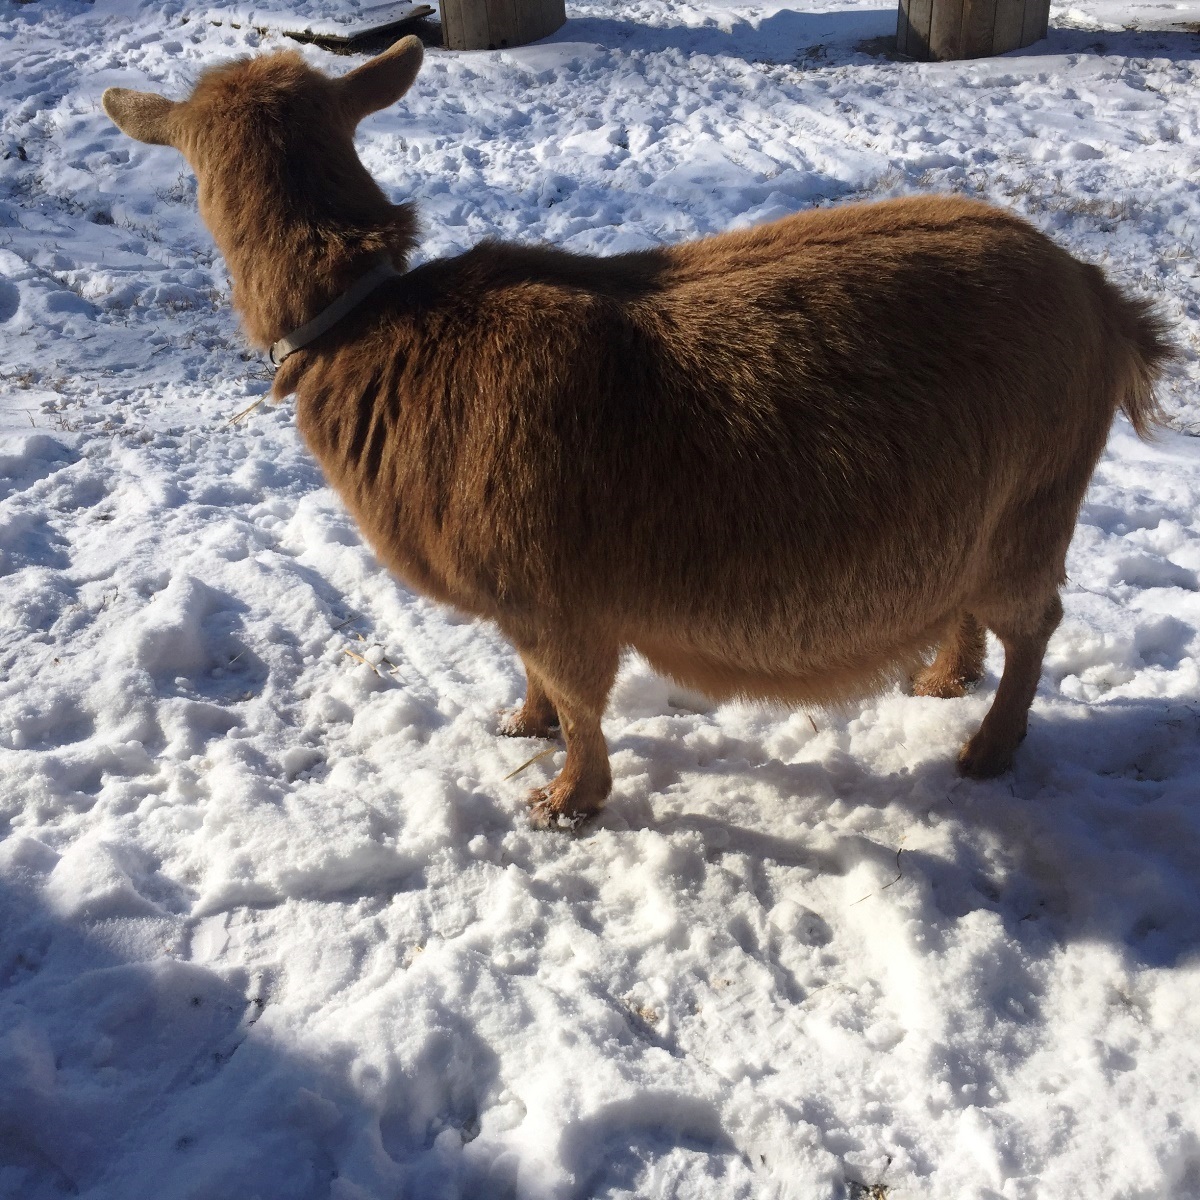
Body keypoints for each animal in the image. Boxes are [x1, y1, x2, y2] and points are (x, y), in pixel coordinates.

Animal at [103, 37, 1171, 825]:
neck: (378, 325)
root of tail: (1100, 298)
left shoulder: (556, 595)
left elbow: (581, 700)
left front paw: (565, 800)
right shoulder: (522, 601)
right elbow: (533, 677)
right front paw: (520, 724)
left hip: (1036, 505)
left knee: (1036, 623)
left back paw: (987, 748)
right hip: (977, 514)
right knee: (973, 607)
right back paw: (943, 678)